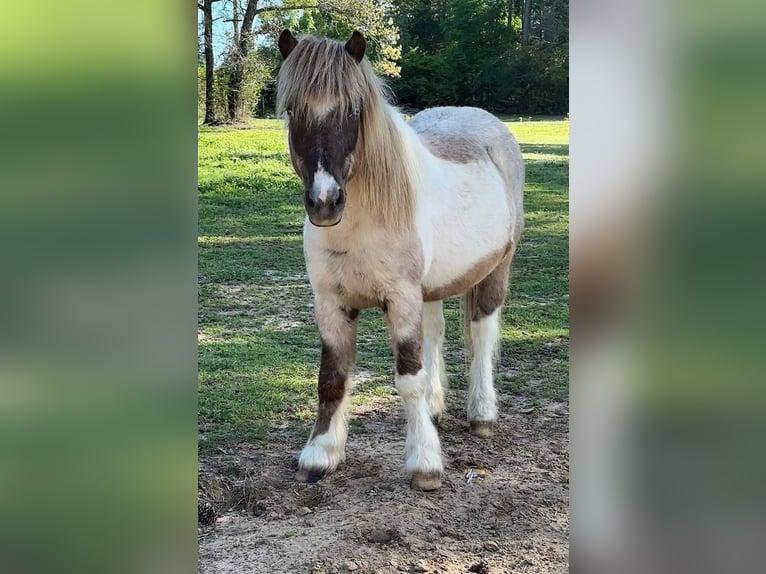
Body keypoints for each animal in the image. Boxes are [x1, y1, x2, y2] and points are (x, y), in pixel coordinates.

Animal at [274, 29, 520, 492]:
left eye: (354, 109)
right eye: (293, 109)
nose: (324, 202)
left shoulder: (402, 299)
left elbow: (408, 379)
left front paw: (424, 463)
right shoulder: (331, 303)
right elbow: (331, 379)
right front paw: (320, 455)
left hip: (495, 271)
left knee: (481, 336)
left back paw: (482, 414)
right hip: (433, 288)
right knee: (437, 335)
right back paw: (437, 409)